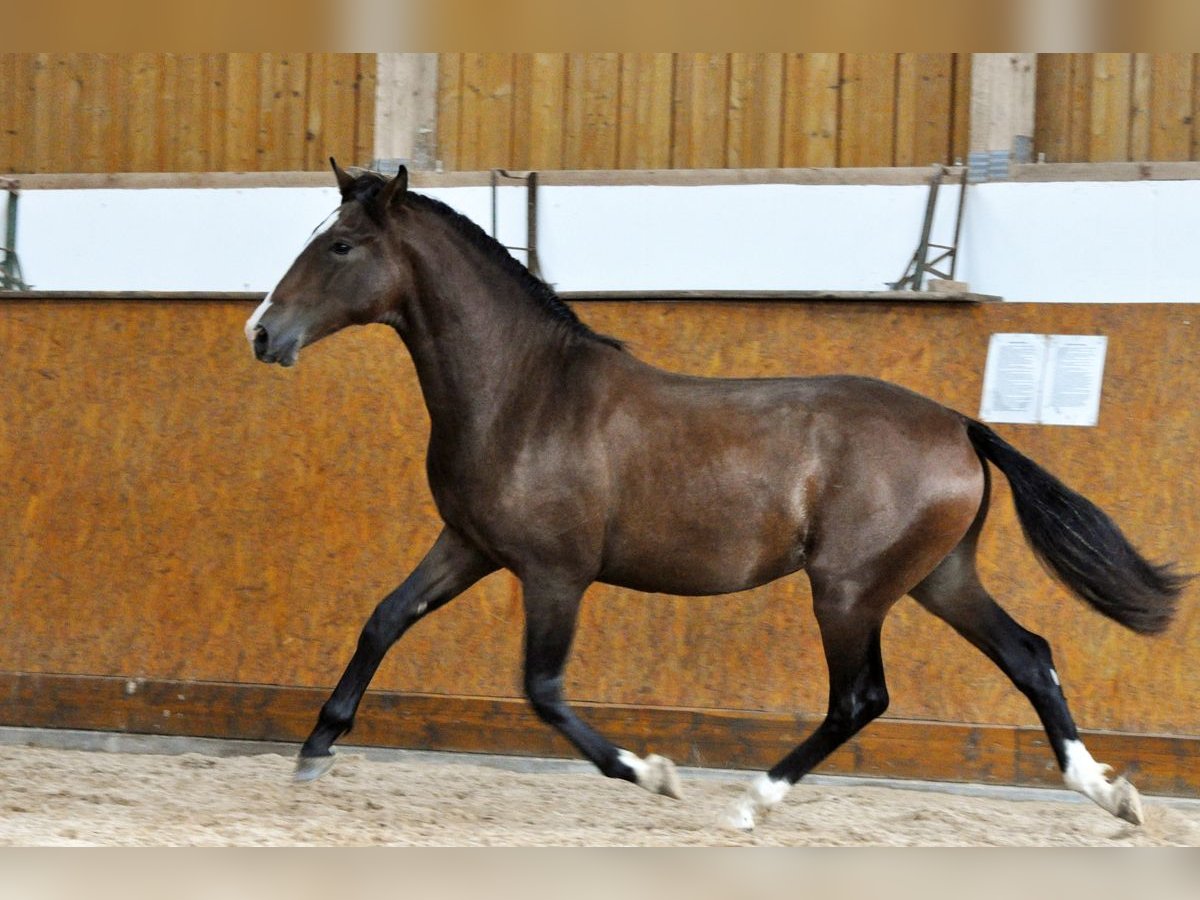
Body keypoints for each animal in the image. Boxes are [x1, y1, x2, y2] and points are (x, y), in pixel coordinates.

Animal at [244, 160, 1185, 831]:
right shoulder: (468, 546)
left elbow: (542, 688)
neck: (525, 392)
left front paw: (652, 774)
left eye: (340, 246)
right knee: (1029, 654)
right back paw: (1108, 793)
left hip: (849, 591)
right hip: (935, 578)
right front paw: (314, 750)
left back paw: (750, 801)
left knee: (861, 698)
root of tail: (960, 425)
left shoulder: (554, 573)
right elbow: (383, 620)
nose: (261, 332)